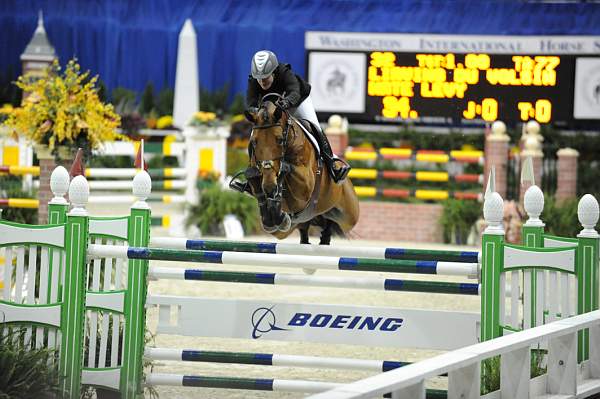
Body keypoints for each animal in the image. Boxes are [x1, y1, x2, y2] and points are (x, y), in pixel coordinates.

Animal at [231, 97, 358, 247]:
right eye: (254, 142)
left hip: (349, 217)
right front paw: (273, 215)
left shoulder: (306, 185)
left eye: (280, 140)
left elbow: (287, 169)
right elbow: (254, 178)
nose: (269, 186)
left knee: (332, 225)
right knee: (306, 230)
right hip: (289, 229)